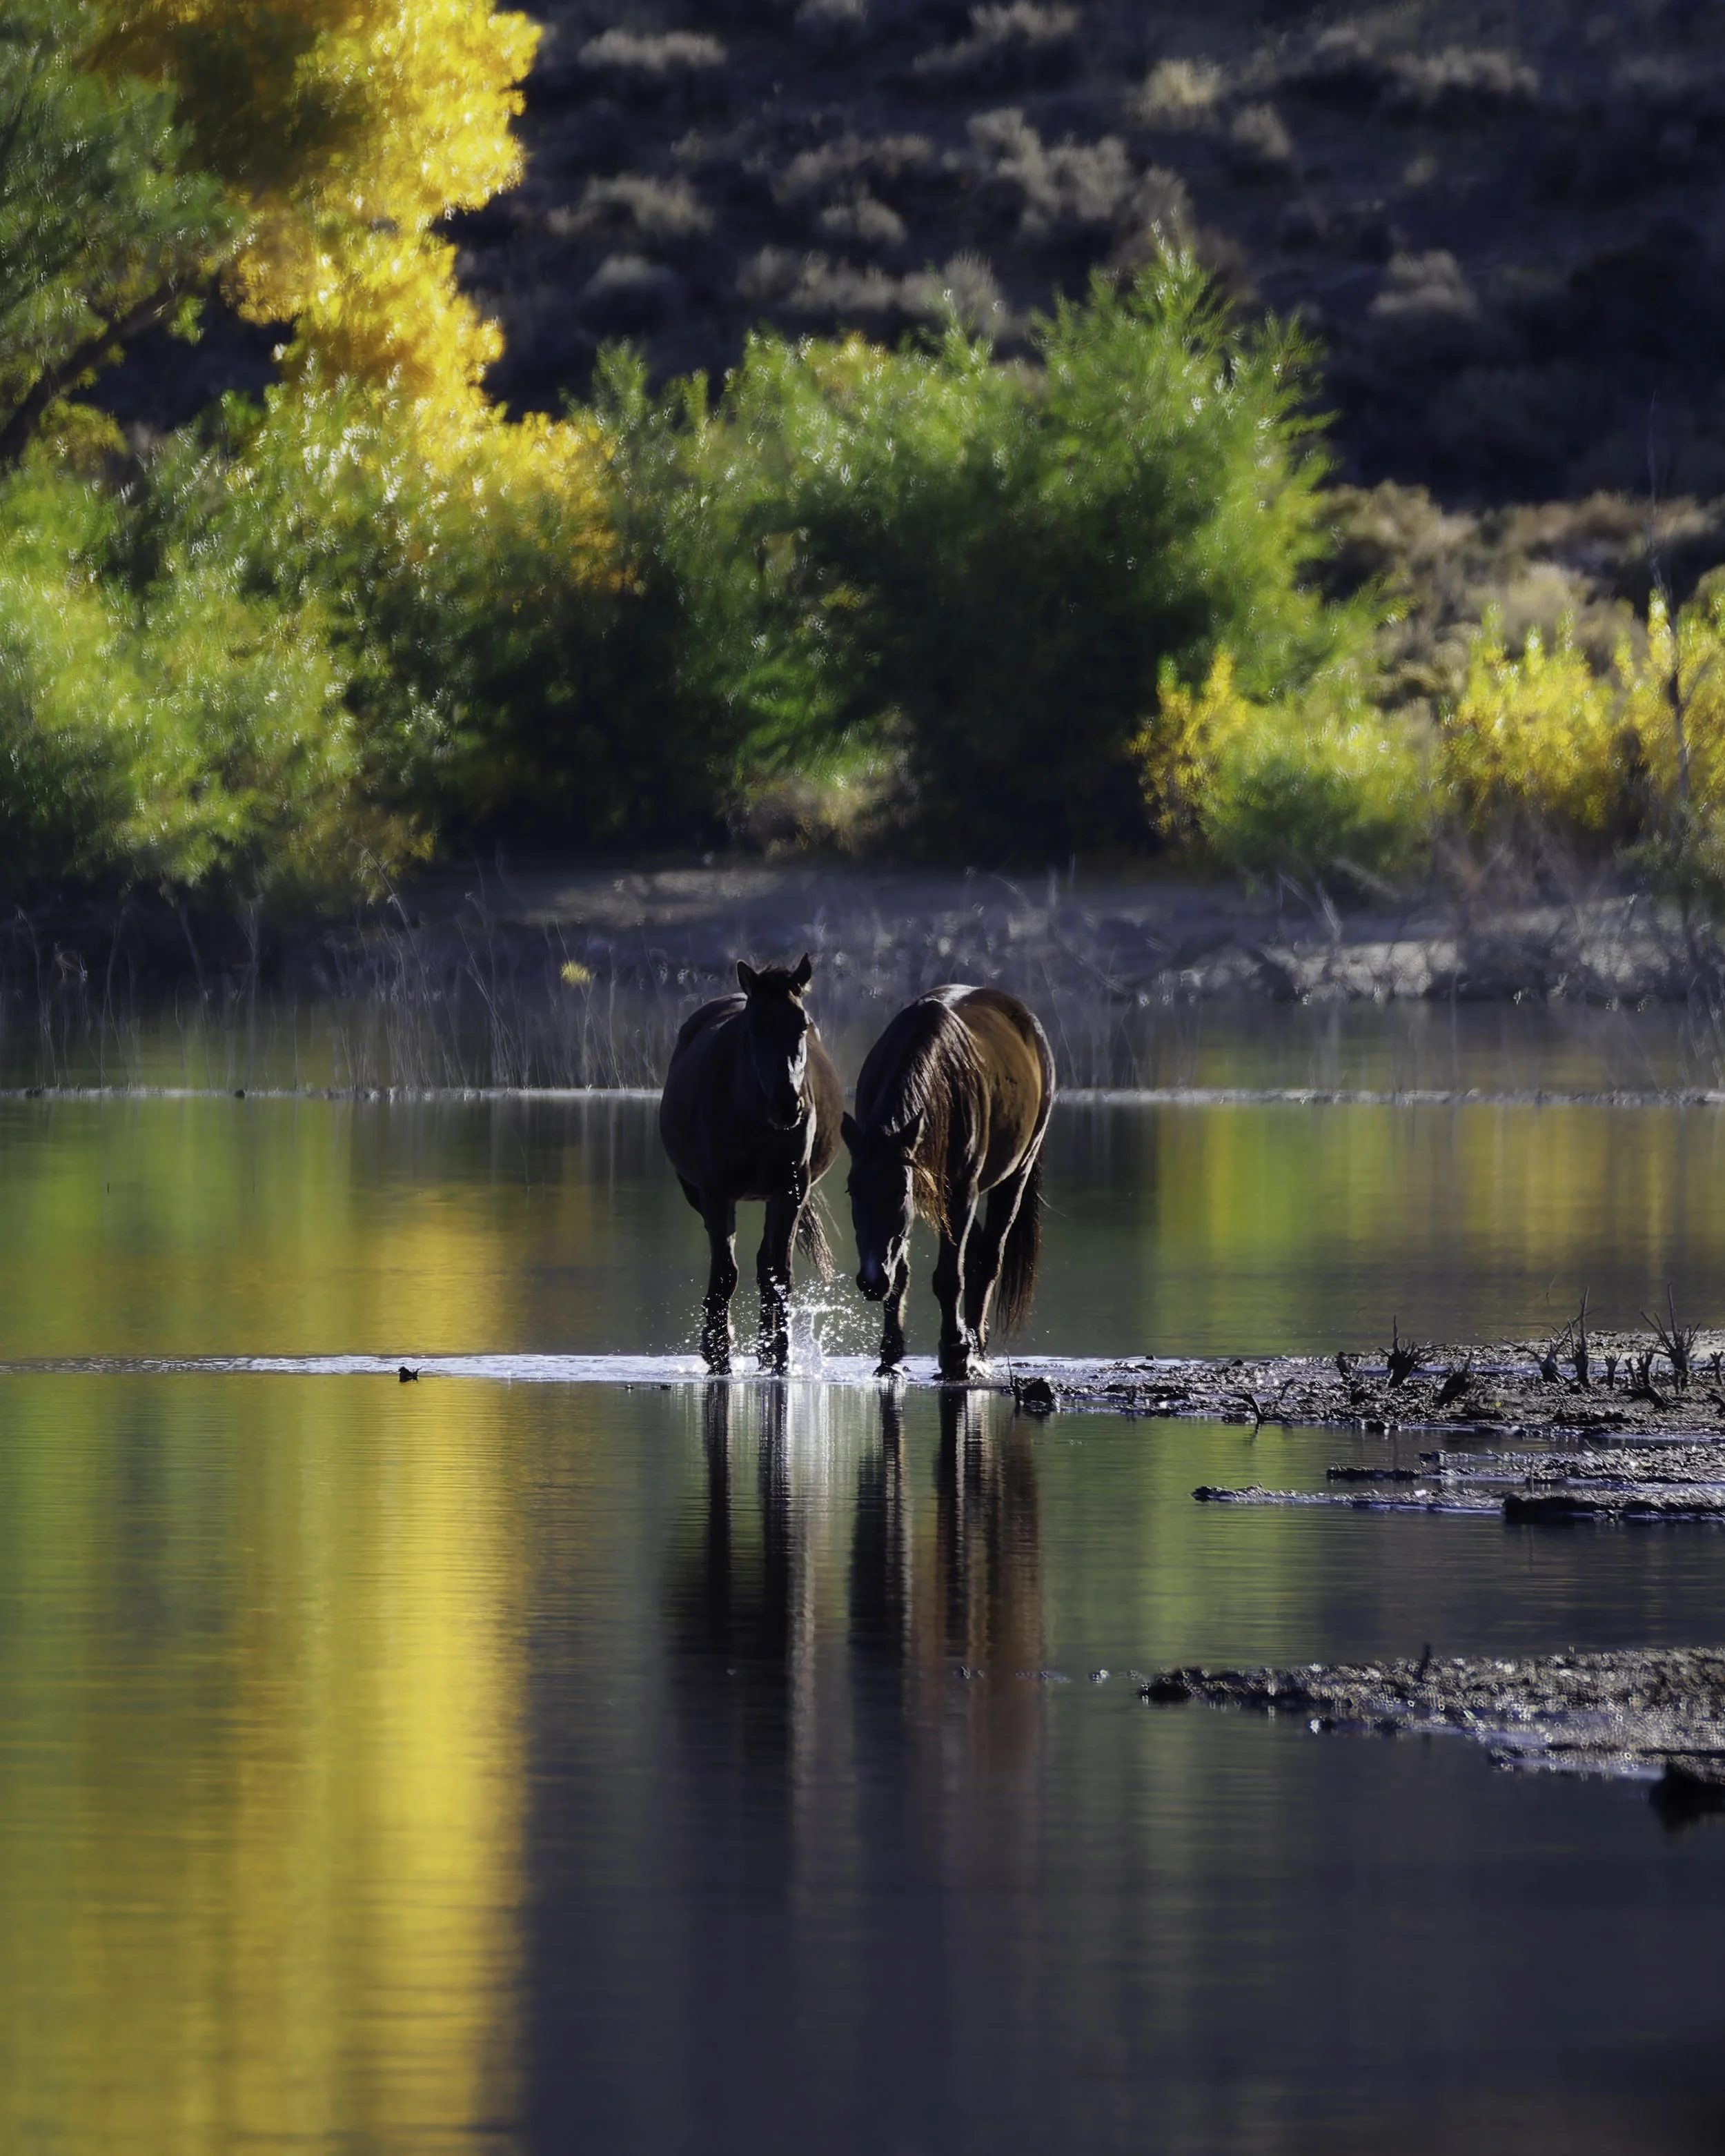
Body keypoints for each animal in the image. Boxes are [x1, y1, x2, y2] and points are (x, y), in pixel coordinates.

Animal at [659, 954, 844, 1373]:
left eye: (802, 1024)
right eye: (756, 1026)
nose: (788, 1104)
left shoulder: (791, 1191)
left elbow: (778, 1274)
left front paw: (779, 1354)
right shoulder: (716, 1194)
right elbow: (726, 1274)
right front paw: (718, 1353)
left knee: (766, 1265)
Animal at [841, 984, 1054, 1381]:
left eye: (900, 1192)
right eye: (853, 1191)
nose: (871, 1281)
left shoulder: (959, 1190)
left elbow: (948, 1277)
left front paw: (955, 1351)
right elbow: (904, 1273)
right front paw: (891, 1355)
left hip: (1014, 1175)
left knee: (988, 1258)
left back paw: (977, 1349)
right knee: (976, 1252)